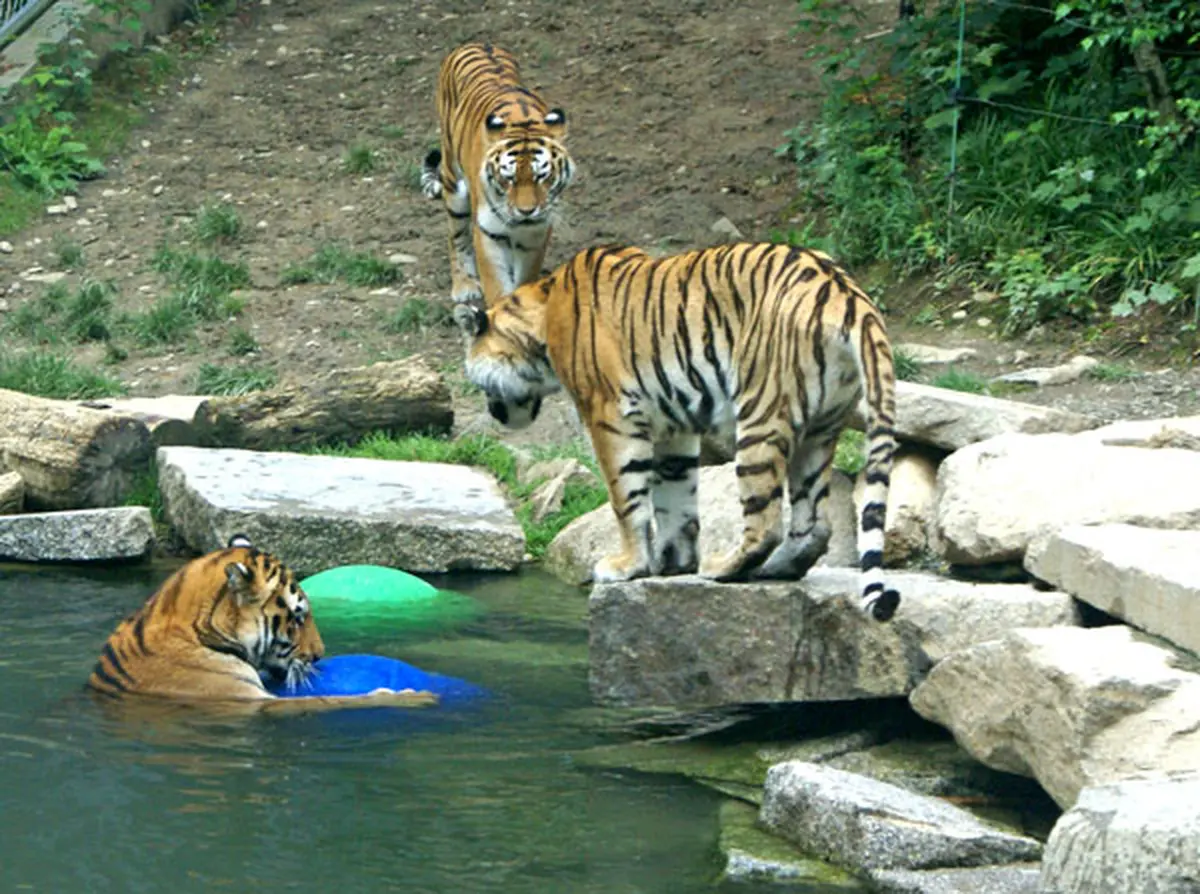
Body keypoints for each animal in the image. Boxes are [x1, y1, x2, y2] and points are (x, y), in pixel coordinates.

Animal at [421, 41, 575, 307]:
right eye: (509, 178)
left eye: (542, 176)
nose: (526, 212)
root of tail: (475, 42)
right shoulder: (488, 233)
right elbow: (496, 284)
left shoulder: (536, 234)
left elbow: (524, 277)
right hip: (454, 183)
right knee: (456, 237)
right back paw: (464, 286)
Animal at [454, 242, 901, 622]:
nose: (495, 413)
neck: (542, 320)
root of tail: (847, 293)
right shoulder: (674, 427)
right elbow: (676, 499)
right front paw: (673, 564)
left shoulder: (610, 417)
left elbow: (627, 500)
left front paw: (627, 566)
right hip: (822, 428)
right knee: (814, 525)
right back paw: (774, 569)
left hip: (760, 415)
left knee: (766, 522)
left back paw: (722, 568)